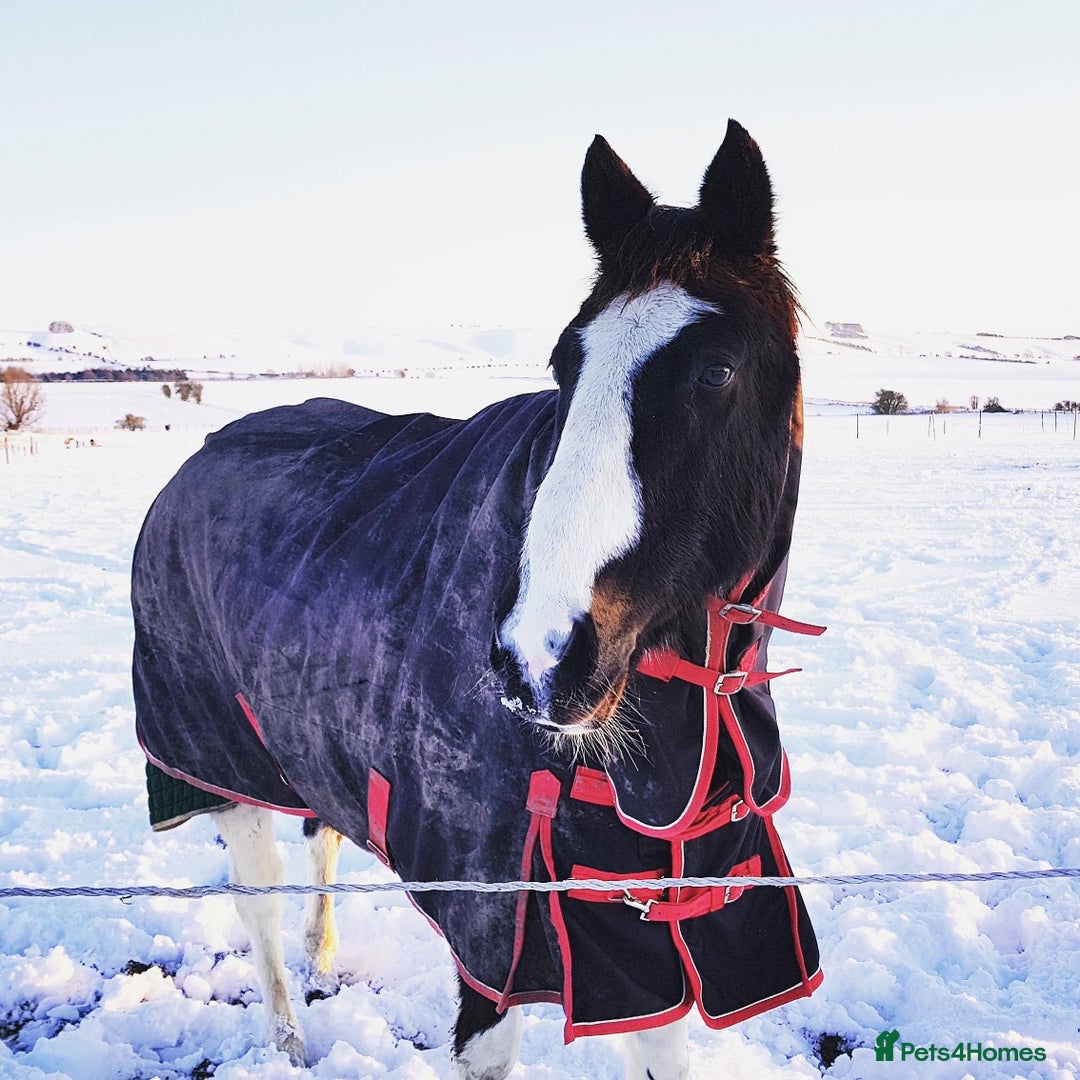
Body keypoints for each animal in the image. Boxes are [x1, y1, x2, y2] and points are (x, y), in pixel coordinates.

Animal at [131, 120, 823, 1079]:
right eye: (566, 362)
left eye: (717, 369)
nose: (538, 657)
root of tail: (197, 455)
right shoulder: (501, 929)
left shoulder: (651, 929)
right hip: (215, 756)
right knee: (258, 901)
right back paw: (287, 1039)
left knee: (321, 838)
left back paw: (323, 955)